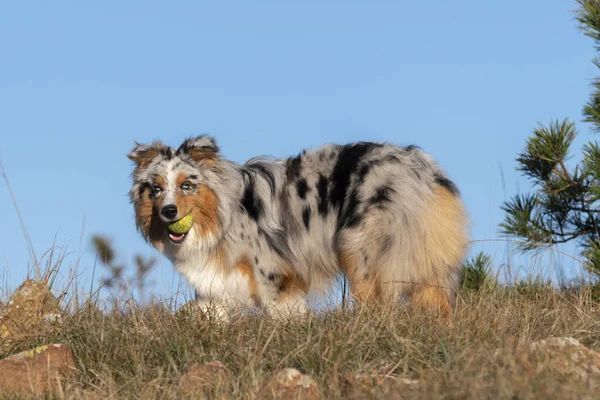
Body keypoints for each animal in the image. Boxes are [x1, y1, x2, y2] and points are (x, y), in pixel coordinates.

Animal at [129, 136, 472, 320]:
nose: (169, 212)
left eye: (187, 185)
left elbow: (282, 313)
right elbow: (199, 310)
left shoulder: (274, 274)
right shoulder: (219, 286)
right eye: (156, 188)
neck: (223, 215)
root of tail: (424, 169)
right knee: (437, 302)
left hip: (361, 248)